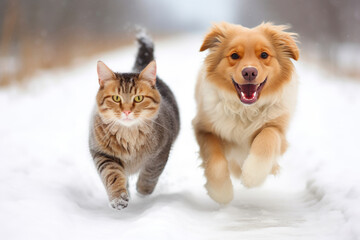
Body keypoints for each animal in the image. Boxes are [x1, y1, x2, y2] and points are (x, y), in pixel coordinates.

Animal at [90, 33, 180, 210]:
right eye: (116, 98)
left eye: (138, 98)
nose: (126, 111)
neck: (129, 135)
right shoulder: (102, 153)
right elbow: (112, 174)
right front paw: (119, 197)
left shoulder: (161, 151)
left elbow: (151, 172)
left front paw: (143, 190)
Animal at [193, 22, 300, 203]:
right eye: (235, 55)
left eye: (264, 55)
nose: (249, 72)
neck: (245, 109)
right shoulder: (203, 128)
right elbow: (215, 159)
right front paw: (221, 192)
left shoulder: (278, 128)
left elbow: (267, 138)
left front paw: (252, 175)